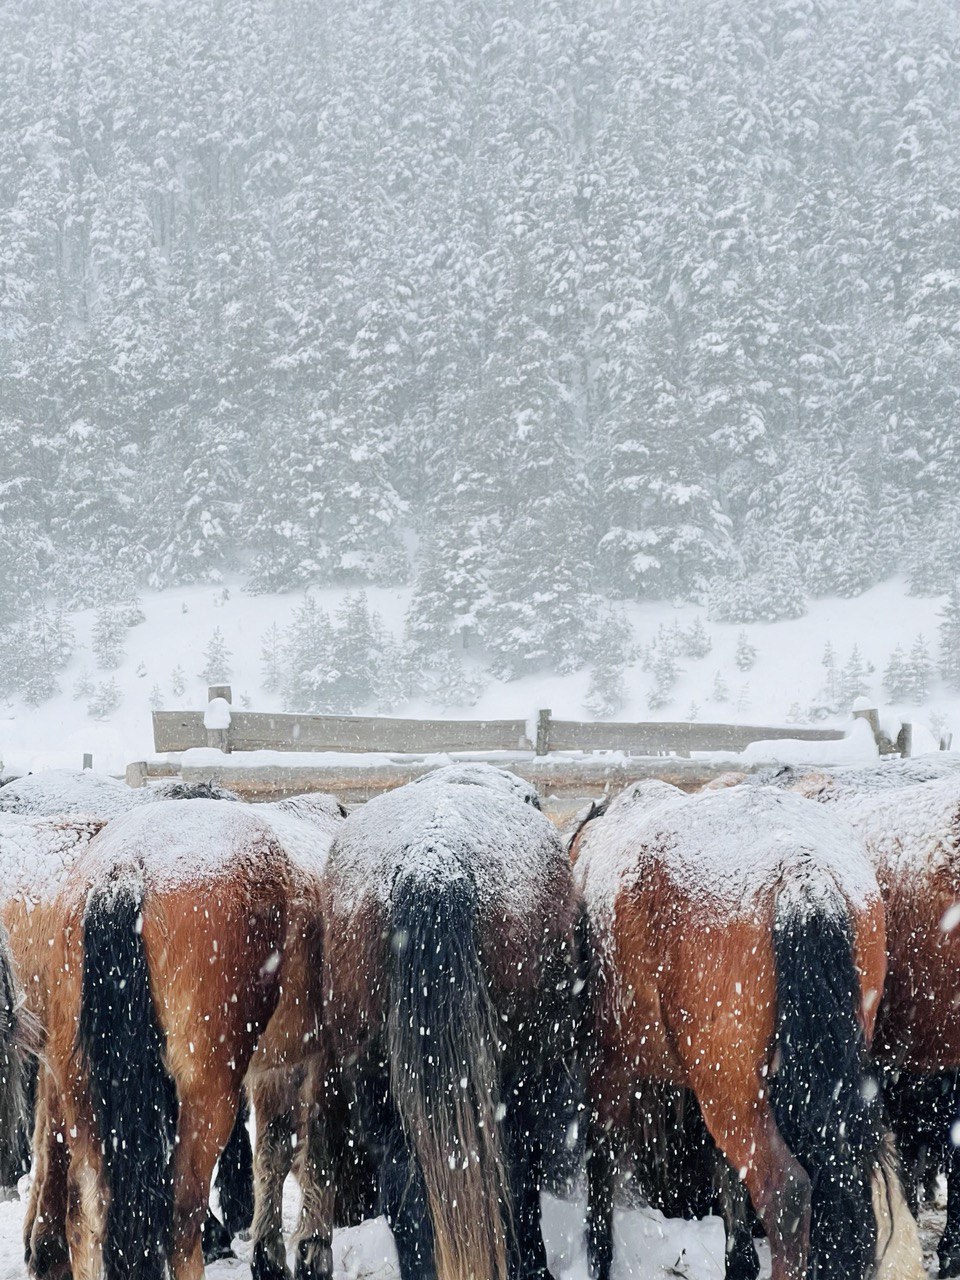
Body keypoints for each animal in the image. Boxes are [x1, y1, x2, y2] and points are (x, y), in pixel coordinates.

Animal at [28, 793, 348, 1274]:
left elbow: (274, 1150)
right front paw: (311, 1251)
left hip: (79, 1088)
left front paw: (270, 1256)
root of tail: (126, 868)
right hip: (206, 1095)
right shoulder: (318, 1060)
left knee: (83, 1214)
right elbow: (315, 1150)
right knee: (181, 1218)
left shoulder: (274, 1067)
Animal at [576, 778, 921, 1280]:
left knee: (786, 1195)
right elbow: (726, 1177)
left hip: (729, 1090)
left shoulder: (608, 1066)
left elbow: (600, 1161)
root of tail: (801, 869)